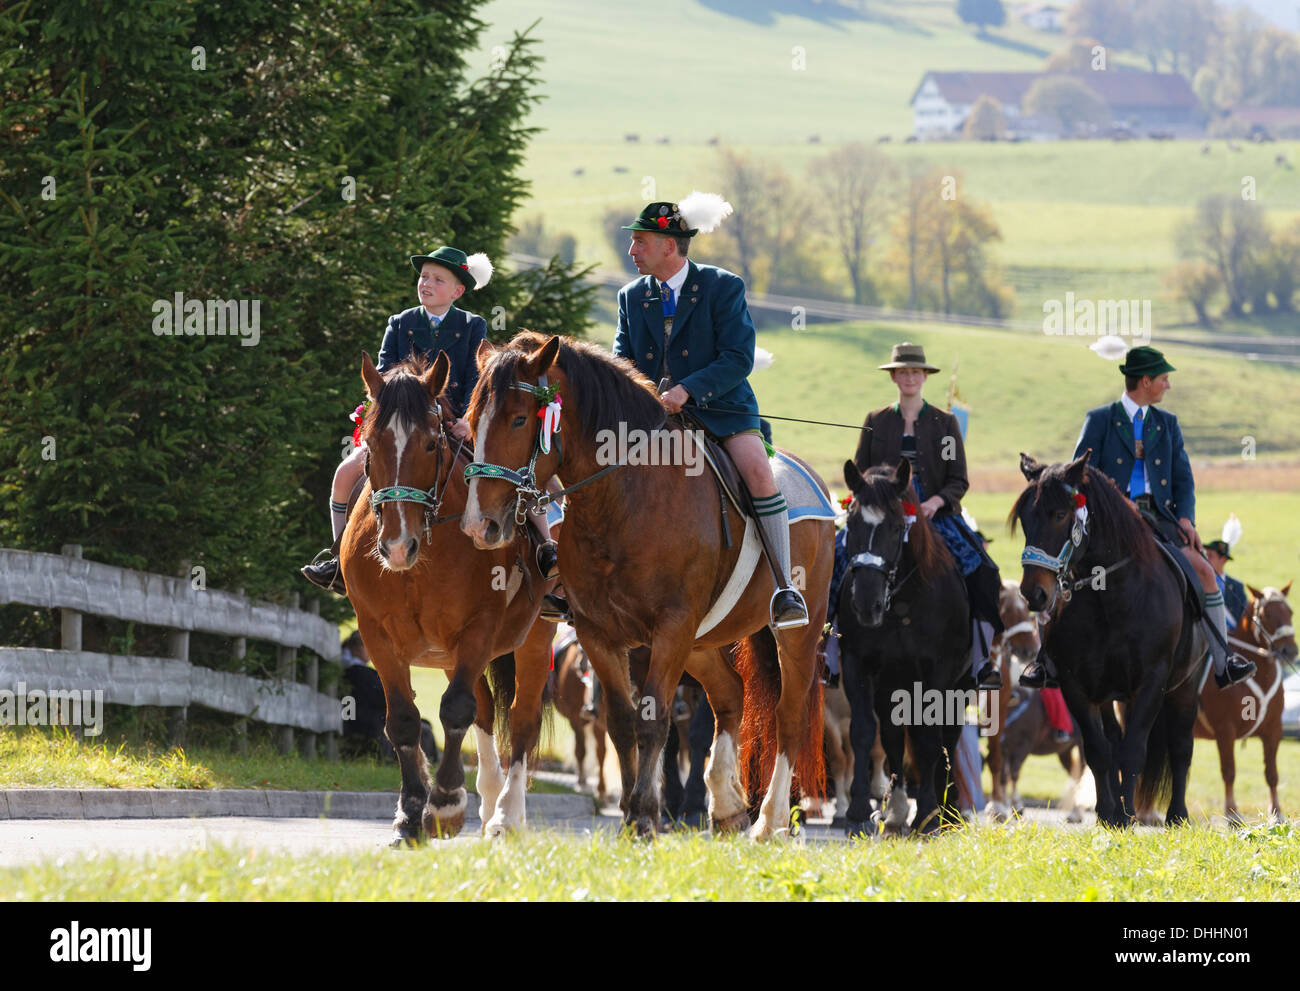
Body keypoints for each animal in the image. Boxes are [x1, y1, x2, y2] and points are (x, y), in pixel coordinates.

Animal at [338, 351, 556, 837]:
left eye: (430, 445)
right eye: (372, 445)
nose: (397, 547)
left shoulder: (479, 627)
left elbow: (455, 709)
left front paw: (445, 805)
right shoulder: (376, 635)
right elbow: (403, 721)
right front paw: (409, 814)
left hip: (533, 641)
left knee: (521, 718)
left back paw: (507, 815)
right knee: (486, 712)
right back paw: (489, 798)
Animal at [465, 331, 832, 832]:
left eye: (520, 419)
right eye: (470, 421)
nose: (480, 525)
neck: (625, 498)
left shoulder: (671, 628)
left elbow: (654, 719)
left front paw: (642, 816)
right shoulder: (600, 633)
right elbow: (622, 722)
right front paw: (630, 814)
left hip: (793, 636)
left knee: (788, 716)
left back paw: (769, 823)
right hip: (700, 643)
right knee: (730, 695)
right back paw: (728, 806)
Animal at [837, 455, 972, 832]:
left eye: (898, 528)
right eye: (851, 524)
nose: (866, 604)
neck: (902, 603)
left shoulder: (937, 672)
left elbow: (929, 739)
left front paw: (927, 813)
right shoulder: (857, 663)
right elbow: (863, 731)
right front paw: (858, 810)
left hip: (961, 685)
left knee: (948, 737)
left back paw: (949, 809)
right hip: (892, 685)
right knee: (893, 736)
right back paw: (896, 810)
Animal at [1008, 452, 1201, 827]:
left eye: (1059, 514)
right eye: (1025, 518)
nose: (1034, 593)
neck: (1110, 597)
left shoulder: (1152, 682)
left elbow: (1134, 749)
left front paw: (1127, 814)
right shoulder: (1076, 685)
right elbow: (1099, 750)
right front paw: (1109, 814)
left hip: (1185, 688)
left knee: (1181, 746)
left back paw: (1176, 814)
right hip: (1108, 693)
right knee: (1111, 740)